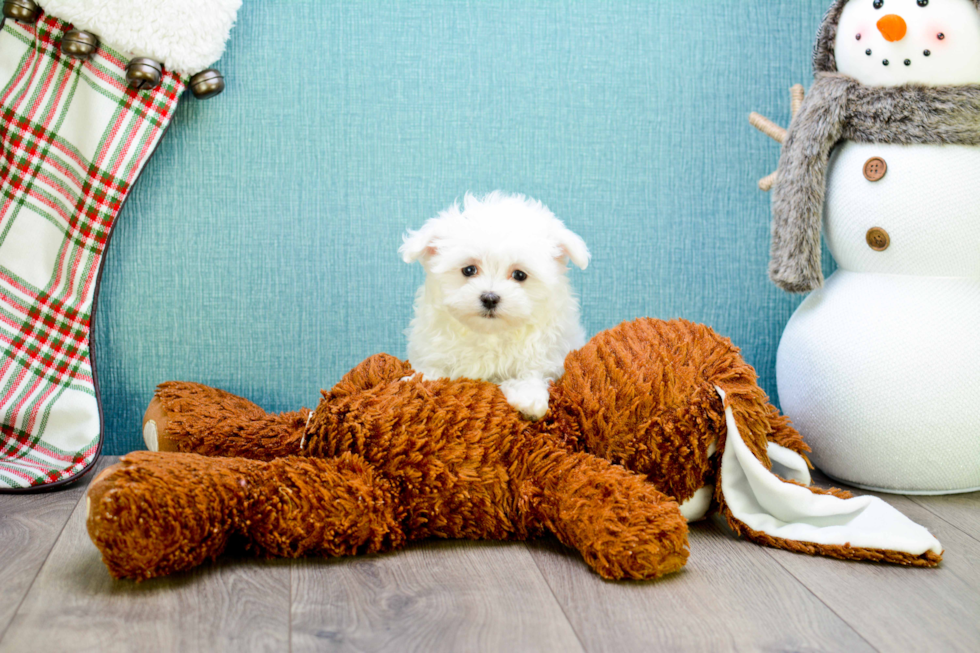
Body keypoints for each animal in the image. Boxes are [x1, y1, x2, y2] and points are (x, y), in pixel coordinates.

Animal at [400, 191, 588, 420]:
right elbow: (433, 371)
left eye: (519, 275)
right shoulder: (433, 351)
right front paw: (416, 381)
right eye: (469, 270)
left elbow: (531, 374)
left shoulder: (544, 355)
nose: (490, 298)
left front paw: (530, 398)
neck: (489, 334)